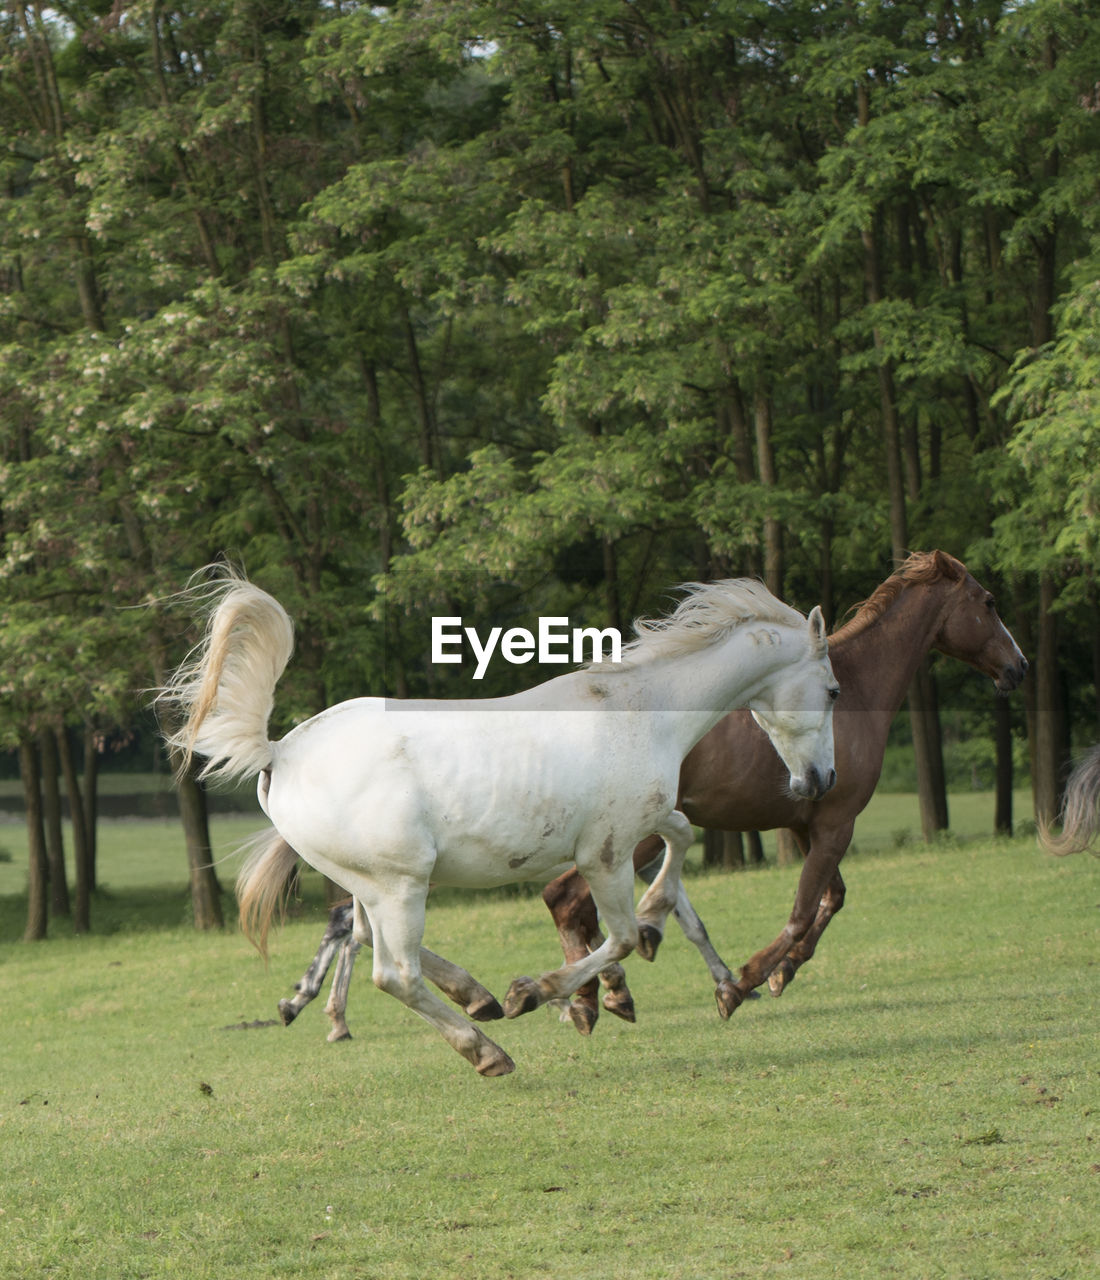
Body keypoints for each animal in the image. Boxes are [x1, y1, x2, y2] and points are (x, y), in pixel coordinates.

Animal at [161, 568, 834, 1070]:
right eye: (832, 691)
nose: (820, 781)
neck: (636, 709)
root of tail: (278, 753)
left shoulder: (640, 827)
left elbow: (680, 840)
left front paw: (665, 946)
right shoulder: (605, 853)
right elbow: (618, 933)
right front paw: (541, 991)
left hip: (372, 886)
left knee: (366, 939)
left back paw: (475, 998)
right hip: (399, 885)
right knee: (394, 972)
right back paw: (486, 1048)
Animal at [545, 550, 1029, 1029]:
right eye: (988, 602)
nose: (1020, 666)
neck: (855, 690)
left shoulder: (806, 824)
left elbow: (831, 898)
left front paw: (783, 971)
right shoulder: (837, 824)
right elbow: (803, 911)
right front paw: (743, 984)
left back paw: (597, 993)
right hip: (630, 839)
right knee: (567, 899)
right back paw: (594, 997)